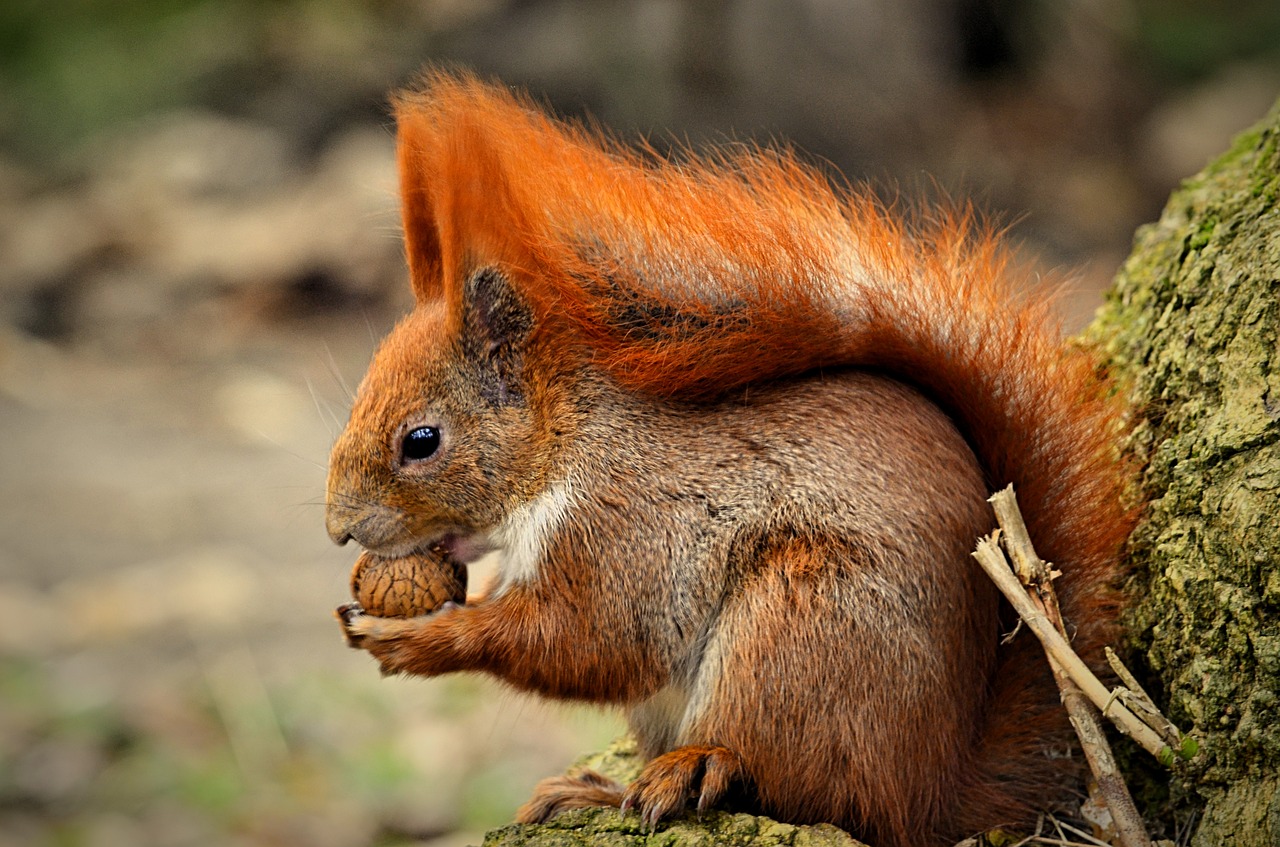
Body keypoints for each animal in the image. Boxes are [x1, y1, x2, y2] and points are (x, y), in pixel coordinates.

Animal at [325, 71, 1136, 847]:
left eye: (421, 441)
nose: (339, 528)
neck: (567, 445)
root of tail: (937, 791)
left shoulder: (630, 527)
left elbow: (589, 640)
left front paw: (418, 639)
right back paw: (602, 789)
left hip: (800, 627)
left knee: (801, 785)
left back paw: (699, 766)